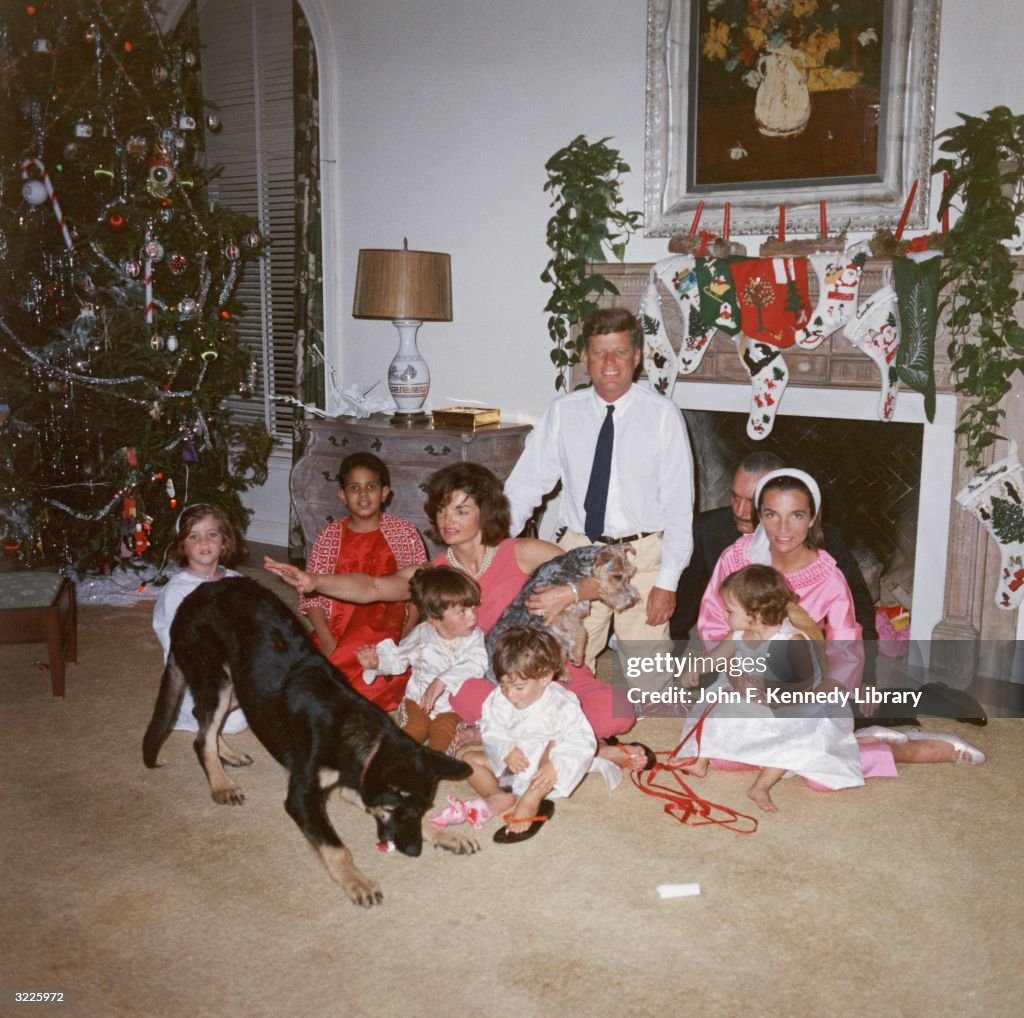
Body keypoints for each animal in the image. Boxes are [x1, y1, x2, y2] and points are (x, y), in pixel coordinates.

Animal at [142, 573, 477, 901]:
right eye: (399, 810)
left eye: (421, 810)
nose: (414, 851)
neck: (357, 732)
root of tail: (195, 593)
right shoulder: (302, 798)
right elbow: (336, 847)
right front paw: (356, 882)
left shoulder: (355, 784)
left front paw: (447, 834)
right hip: (217, 678)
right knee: (202, 736)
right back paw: (222, 784)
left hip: (244, 688)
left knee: (202, 717)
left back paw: (229, 755)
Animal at [483, 544, 634, 671]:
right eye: (617, 576)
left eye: (630, 575)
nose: (631, 600)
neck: (575, 568)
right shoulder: (562, 615)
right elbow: (582, 633)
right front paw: (576, 656)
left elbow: (580, 633)